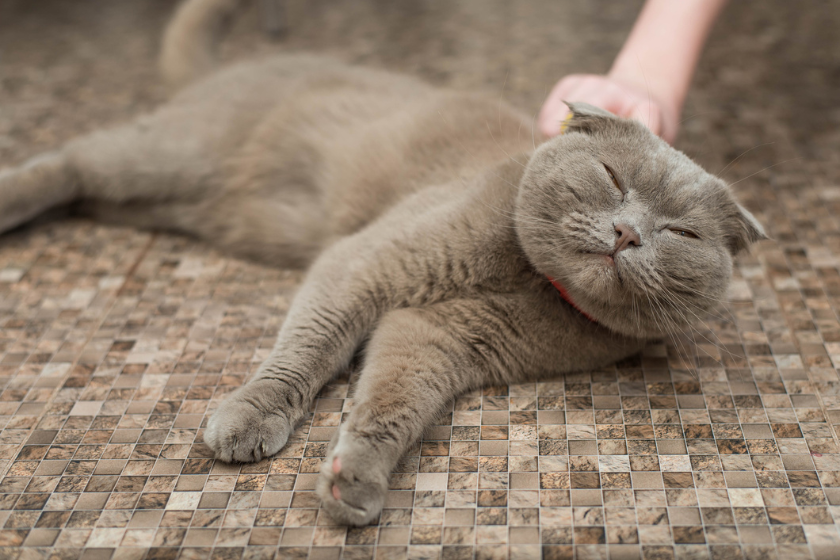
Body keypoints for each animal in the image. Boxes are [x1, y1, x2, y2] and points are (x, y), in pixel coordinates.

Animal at [0, 0, 764, 524]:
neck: (529, 279)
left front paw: (355, 478)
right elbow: (307, 350)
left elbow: (396, 400)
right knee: (73, 159)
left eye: (681, 233)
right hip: (175, 151)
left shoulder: (447, 335)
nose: (630, 232)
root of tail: (234, 69)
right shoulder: (370, 261)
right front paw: (249, 420)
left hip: (169, 200)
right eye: (610, 175)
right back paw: (10, 199)